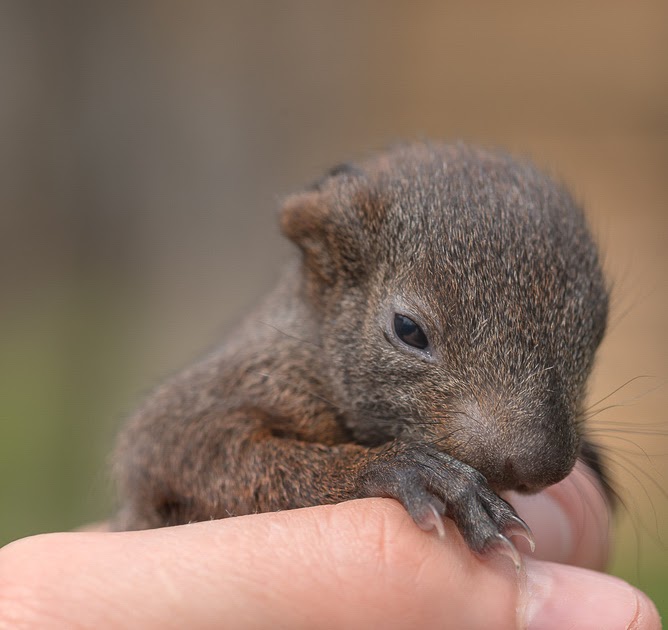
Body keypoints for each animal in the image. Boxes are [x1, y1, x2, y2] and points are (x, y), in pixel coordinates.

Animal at [112, 143, 608, 556]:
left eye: (598, 332)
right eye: (408, 329)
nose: (538, 464)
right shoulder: (220, 394)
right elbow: (190, 450)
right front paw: (403, 469)